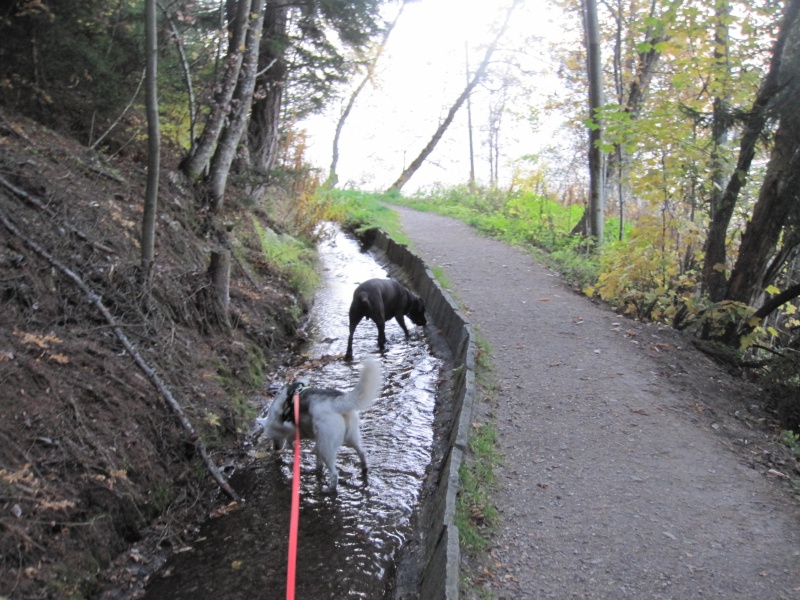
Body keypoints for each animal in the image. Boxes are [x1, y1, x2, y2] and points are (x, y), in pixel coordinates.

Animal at [256, 356, 382, 492]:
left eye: (272, 438)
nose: (276, 449)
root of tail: (336, 402)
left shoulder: (294, 430)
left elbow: (291, 442)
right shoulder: (311, 435)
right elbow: (316, 459)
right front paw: (317, 466)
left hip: (326, 447)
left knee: (334, 474)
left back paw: (329, 489)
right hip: (349, 438)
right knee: (362, 453)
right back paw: (363, 469)